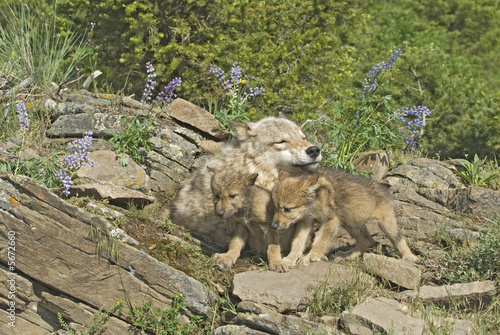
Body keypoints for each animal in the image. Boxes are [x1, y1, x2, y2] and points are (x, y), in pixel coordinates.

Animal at [272, 169, 420, 270]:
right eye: (276, 208)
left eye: (287, 209)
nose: (273, 226)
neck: (315, 200)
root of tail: (383, 188)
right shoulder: (306, 222)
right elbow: (297, 241)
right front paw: (291, 258)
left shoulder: (331, 221)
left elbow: (319, 242)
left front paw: (311, 257)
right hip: (351, 222)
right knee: (367, 240)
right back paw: (345, 255)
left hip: (386, 224)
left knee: (399, 239)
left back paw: (410, 257)